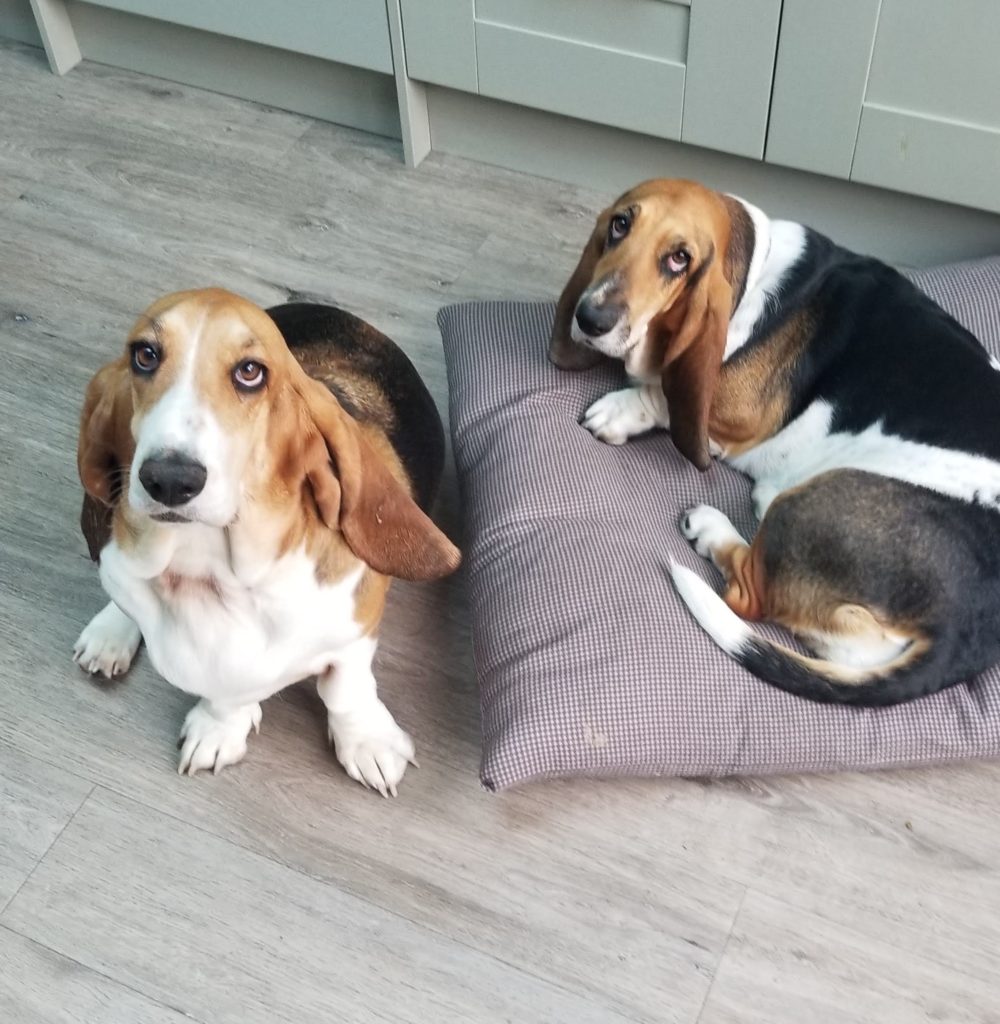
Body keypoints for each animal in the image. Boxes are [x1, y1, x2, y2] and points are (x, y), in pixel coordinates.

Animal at [74, 288, 460, 790]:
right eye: (145, 355)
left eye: (250, 372)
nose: (170, 480)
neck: (214, 572)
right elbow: (228, 695)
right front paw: (220, 729)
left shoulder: (357, 629)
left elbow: (345, 689)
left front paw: (368, 741)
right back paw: (111, 632)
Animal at [548, 178, 998, 704]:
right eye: (620, 225)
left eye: (679, 259)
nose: (591, 318)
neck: (755, 274)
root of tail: (964, 636)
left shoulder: (732, 419)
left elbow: (664, 397)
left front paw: (621, 409)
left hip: (802, 506)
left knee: (750, 596)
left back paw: (711, 526)